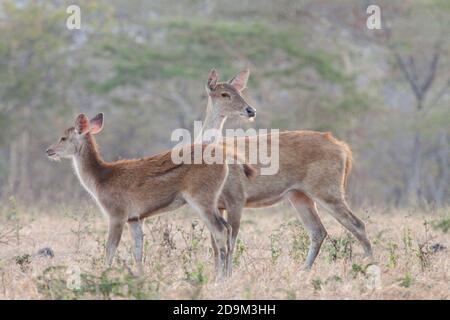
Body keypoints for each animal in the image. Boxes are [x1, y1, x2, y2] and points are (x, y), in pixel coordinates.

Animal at [47, 112, 255, 278]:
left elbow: (110, 248)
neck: (100, 179)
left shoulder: (117, 213)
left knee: (221, 231)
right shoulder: (135, 218)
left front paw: (103, 275)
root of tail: (226, 159)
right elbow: (138, 250)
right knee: (228, 229)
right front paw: (140, 277)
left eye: (63, 138)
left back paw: (220, 279)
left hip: (202, 197)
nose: (49, 150)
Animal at [195, 69, 374, 272]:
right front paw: (217, 275)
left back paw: (370, 265)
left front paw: (228, 275)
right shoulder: (216, 205)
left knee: (358, 224)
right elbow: (216, 244)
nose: (250, 110)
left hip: (327, 190)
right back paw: (304, 271)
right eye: (224, 94)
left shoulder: (237, 199)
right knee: (318, 231)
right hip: (299, 194)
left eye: (240, 92)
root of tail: (343, 148)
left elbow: (230, 242)